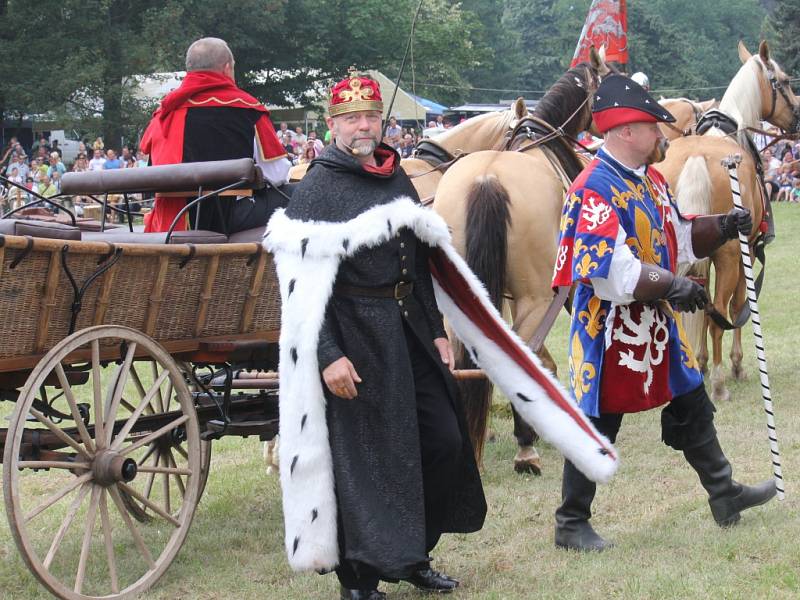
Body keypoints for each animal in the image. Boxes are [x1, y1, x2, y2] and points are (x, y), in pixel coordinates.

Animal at [660, 39, 796, 400]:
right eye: (785, 81)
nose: (797, 116)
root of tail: (696, 157)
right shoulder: (745, 249)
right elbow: (737, 306)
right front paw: (735, 364)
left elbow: (701, 307)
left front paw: (702, 362)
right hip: (730, 253)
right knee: (721, 309)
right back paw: (721, 381)